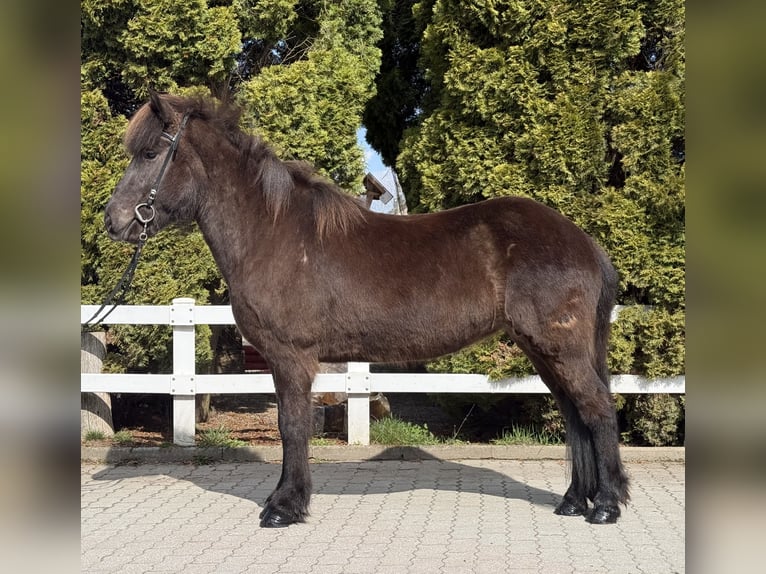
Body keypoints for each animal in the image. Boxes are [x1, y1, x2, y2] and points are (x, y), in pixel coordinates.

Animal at [103, 92, 629, 527]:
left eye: (149, 154)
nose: (113, 221)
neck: (272, 232)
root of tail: (583, 242)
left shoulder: (291, 357)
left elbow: (292, 426)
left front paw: (284, 507)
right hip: (544, 351)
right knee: (575, 415)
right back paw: (573, 501)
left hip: (560, 349)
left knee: (598, 410)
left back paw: (605, 506)